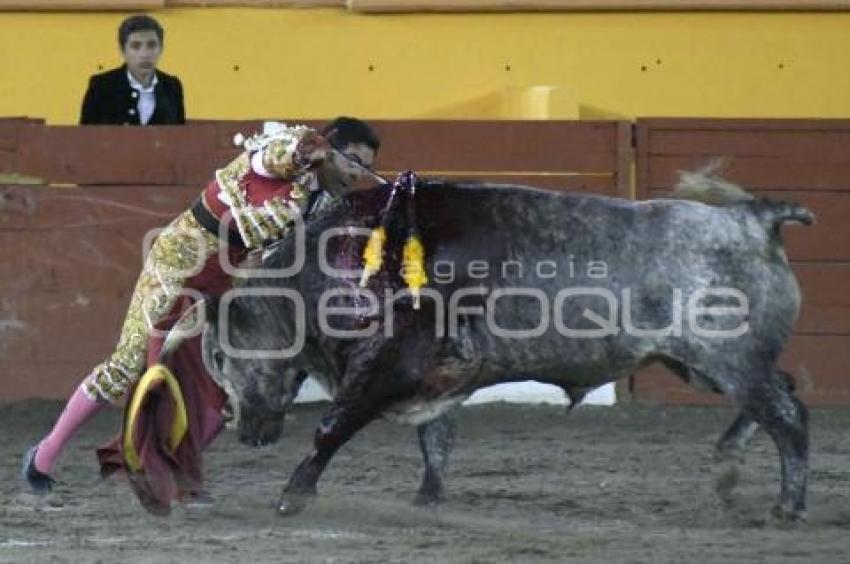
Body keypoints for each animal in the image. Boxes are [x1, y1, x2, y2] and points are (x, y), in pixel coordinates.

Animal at [200, 170, 816, 524]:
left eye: (221, 355)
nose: (238, 425)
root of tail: (751, 218)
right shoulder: (433, 374)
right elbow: (435, 437)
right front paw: (428, 497)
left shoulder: (386, 365)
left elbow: (333, 426)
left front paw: (292, 495)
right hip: (710, 365)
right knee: (779, 396)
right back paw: (728, 473)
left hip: (727, 359)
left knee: (787, 415)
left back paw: (786, 505)